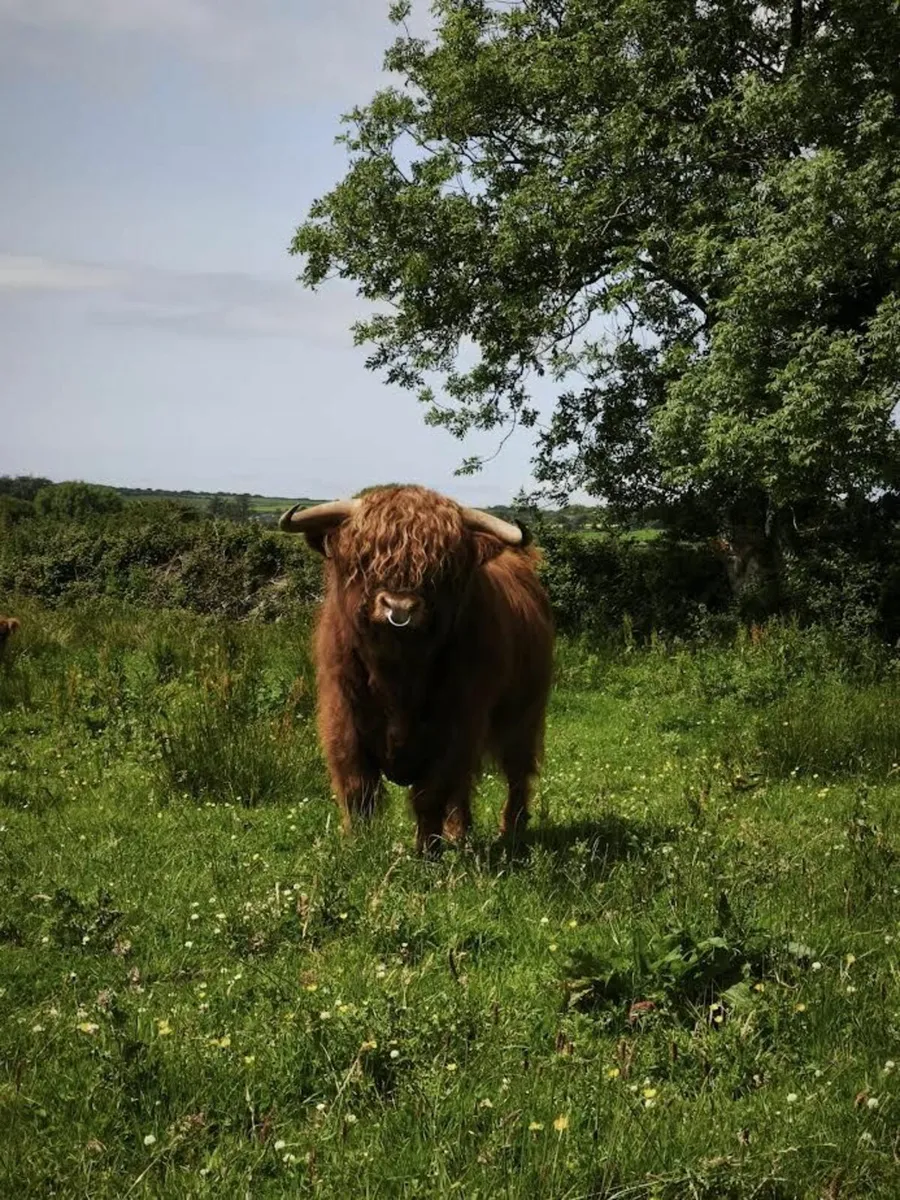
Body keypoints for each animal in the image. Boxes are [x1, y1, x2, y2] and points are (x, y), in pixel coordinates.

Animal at [279, 485, 554, 854]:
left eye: (441, 567)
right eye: (365, 558)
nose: (399, 607)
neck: (398, 673)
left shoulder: (457, 723)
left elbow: (432, 791)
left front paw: (427, 850)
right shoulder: (343, 715)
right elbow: (357, 785)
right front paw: (357, 843)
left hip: (523, 713)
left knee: (518, 771)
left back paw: (511, 828)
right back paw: (459, 831)